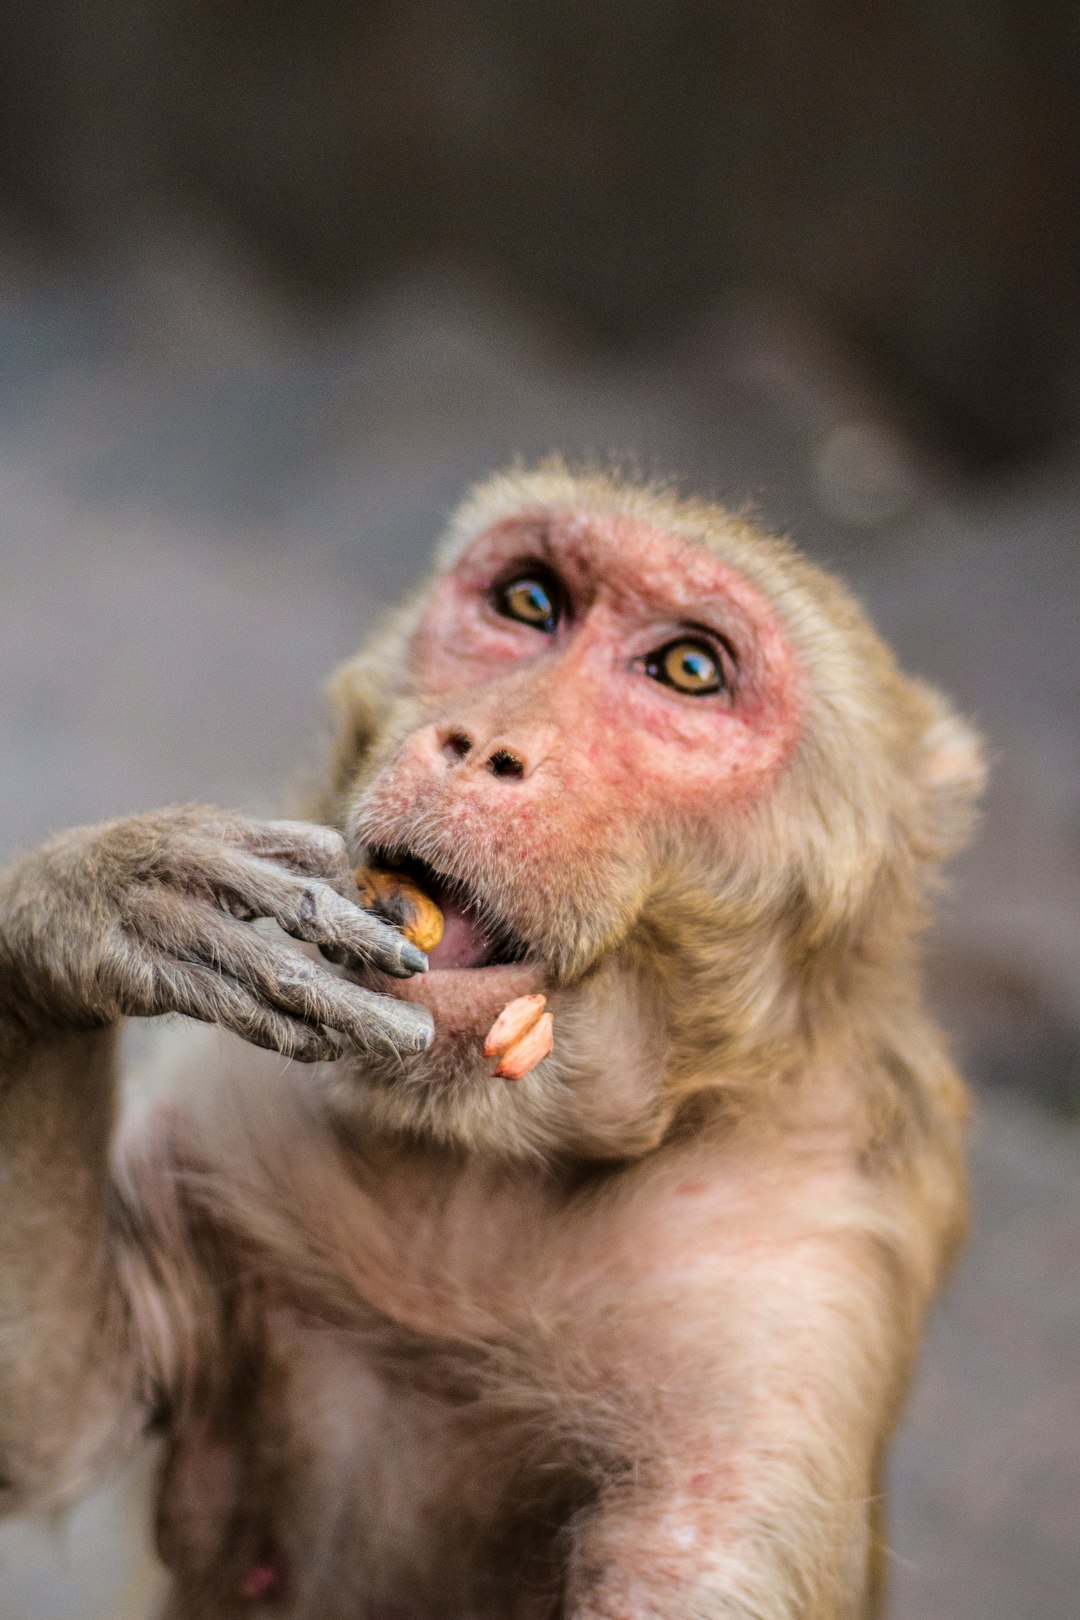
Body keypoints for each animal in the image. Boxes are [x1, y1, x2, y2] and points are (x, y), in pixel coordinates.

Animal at [0, 460, 984, 1620]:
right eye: (529, 602)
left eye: (689, 669)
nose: (478, 746)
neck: (483, 1165)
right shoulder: (232, 1108)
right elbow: (61, 1420)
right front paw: (104, 897)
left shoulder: (792, 1302)